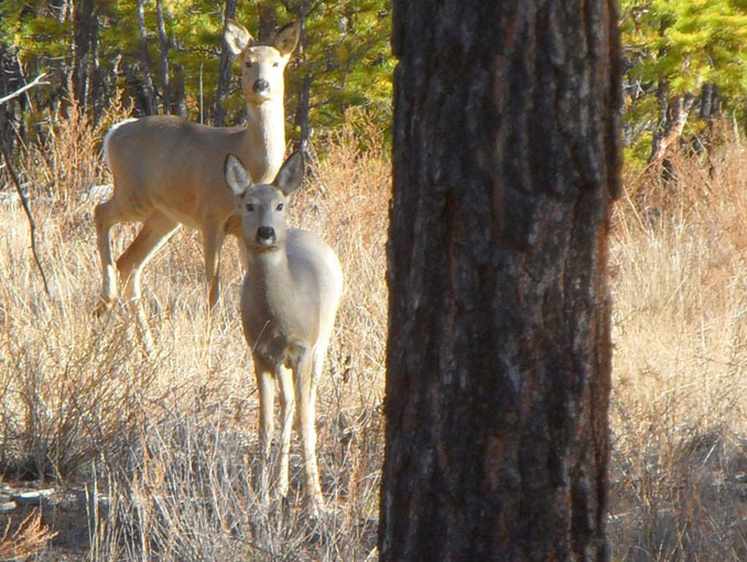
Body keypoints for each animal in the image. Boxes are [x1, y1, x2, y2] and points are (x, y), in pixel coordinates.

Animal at [95, 19, 300, 318]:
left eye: (276, 63)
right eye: (247, 62)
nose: (261, 84)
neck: (252, 160)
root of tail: (114, 132)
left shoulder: (245, 230)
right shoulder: (210, 216)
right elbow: (213, 286)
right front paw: (212, 323)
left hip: (164, 216)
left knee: (129, 262)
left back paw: (139, 327)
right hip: (133, 195)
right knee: (101, 213)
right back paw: (107, 297)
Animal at [225, 149, 344, 512]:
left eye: (279, 205)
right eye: (248, 204)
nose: (266, 232)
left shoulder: (304, 349)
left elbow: (307, 421)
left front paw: (316, 502)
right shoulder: (259, 353)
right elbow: (265, 424)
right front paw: (261, 495)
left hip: (323, 340)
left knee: (307, 402)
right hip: (281, 362)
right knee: (288, 403)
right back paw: (280, 487)